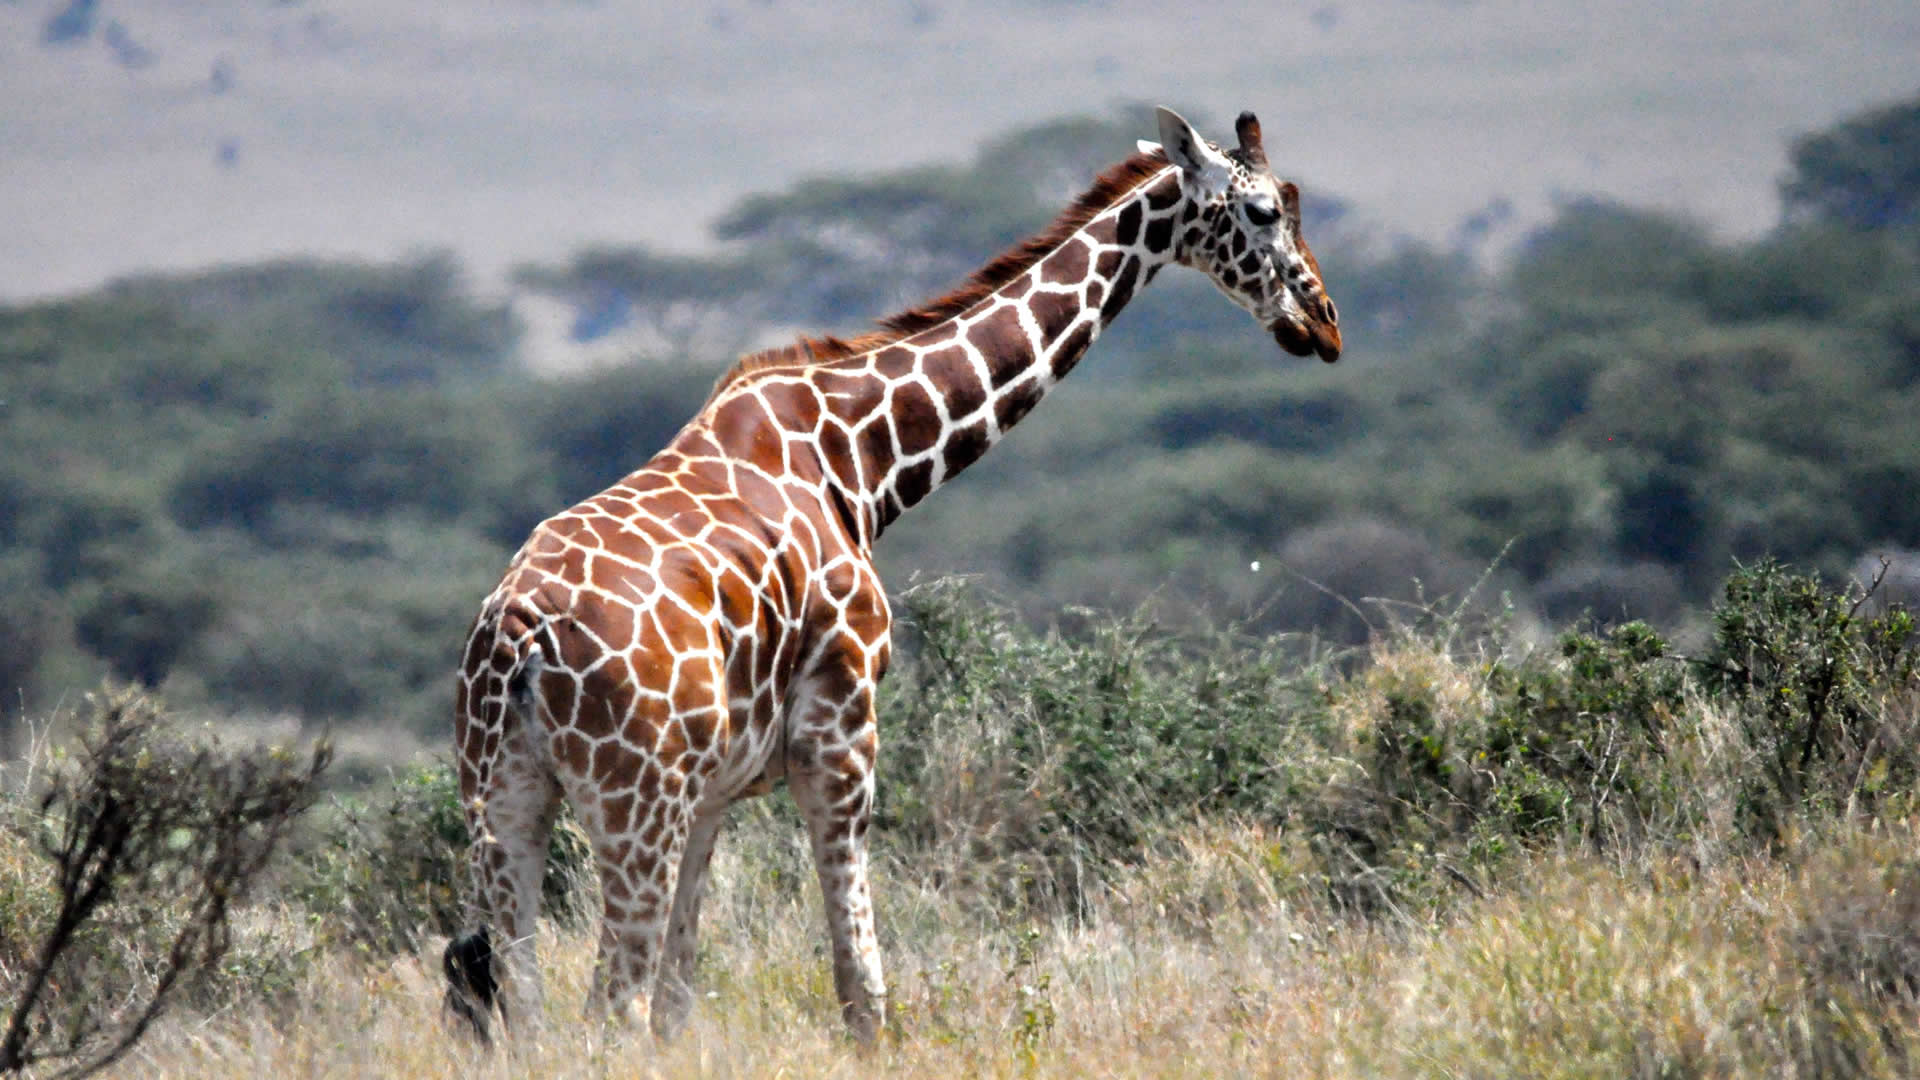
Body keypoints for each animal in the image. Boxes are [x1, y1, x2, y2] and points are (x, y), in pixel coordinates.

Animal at [443, 106, 1341, 1046]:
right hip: (631, 802)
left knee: (527, 1004)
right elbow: (859, 986)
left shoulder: (715, 790)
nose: (1322, 323)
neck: (863, 460)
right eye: (1265, 211)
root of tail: (515, 639)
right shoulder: (841, 730)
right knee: (605, 1002)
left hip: (506, 803)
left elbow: (679, 998)